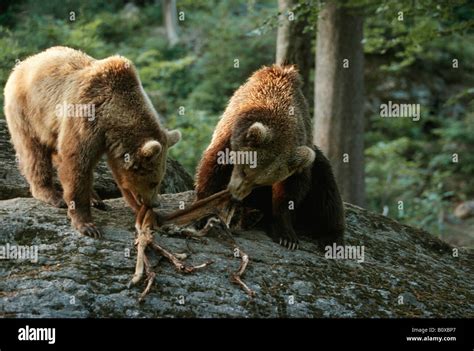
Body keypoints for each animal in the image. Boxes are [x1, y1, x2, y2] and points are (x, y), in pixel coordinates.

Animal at [195, 64, 344, 250]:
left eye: (260, 183)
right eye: (244, 170)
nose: (237, 194)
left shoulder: (299, 155)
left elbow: (290, 192)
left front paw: (286, 236)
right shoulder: (229, 133)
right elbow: (213, 166)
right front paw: (202, 215)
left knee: (326, 188)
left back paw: (332, 237)